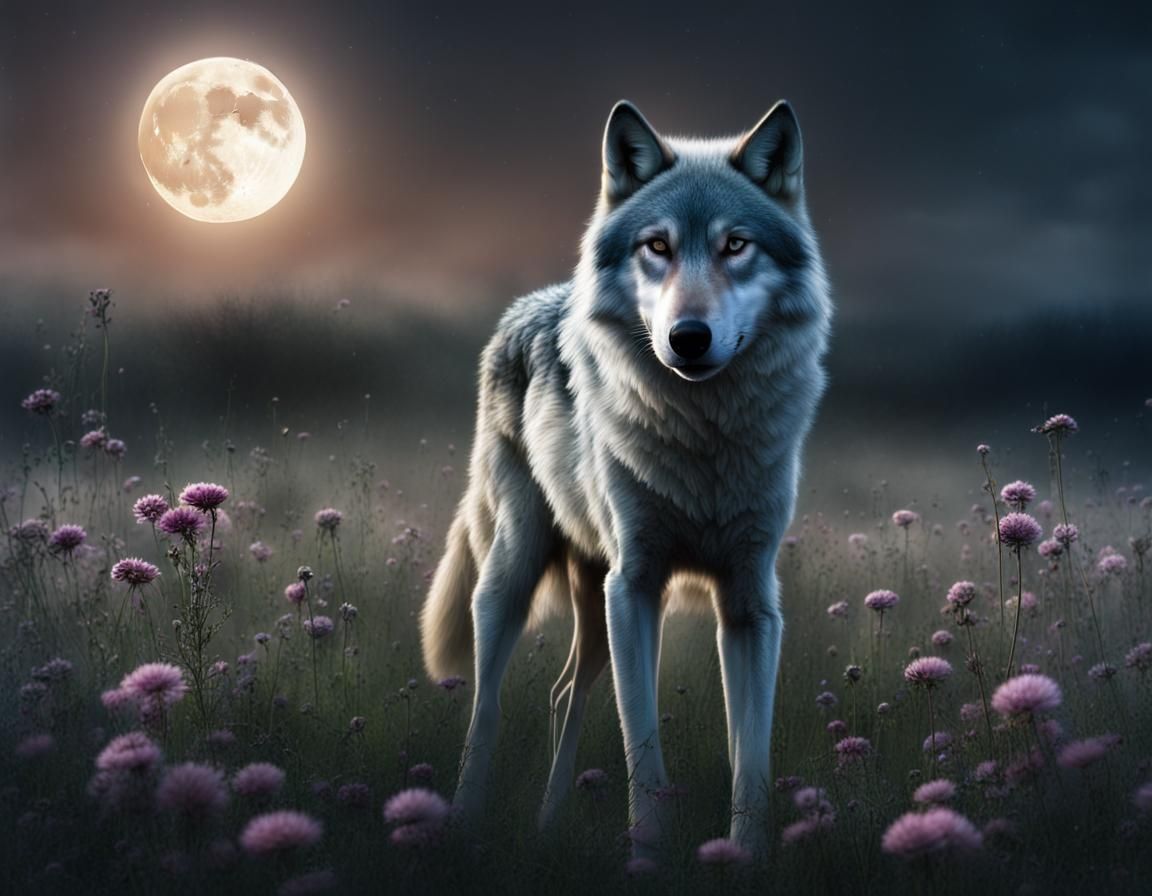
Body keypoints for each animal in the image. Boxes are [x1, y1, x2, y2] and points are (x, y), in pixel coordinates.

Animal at [420, 98, 831, 855]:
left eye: (736, 246)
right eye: (657, 247)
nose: (688, 337)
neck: (704, 442)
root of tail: (528, 304)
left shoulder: (751, 604)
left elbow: (751, 758)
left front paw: (746, 857)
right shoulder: (635, 588)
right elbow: (642, 749)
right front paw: (648, 854)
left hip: (593, 603)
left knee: (562, 695)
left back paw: (547, 826)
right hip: (514, 578)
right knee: (486, 709)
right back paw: (464, 821)